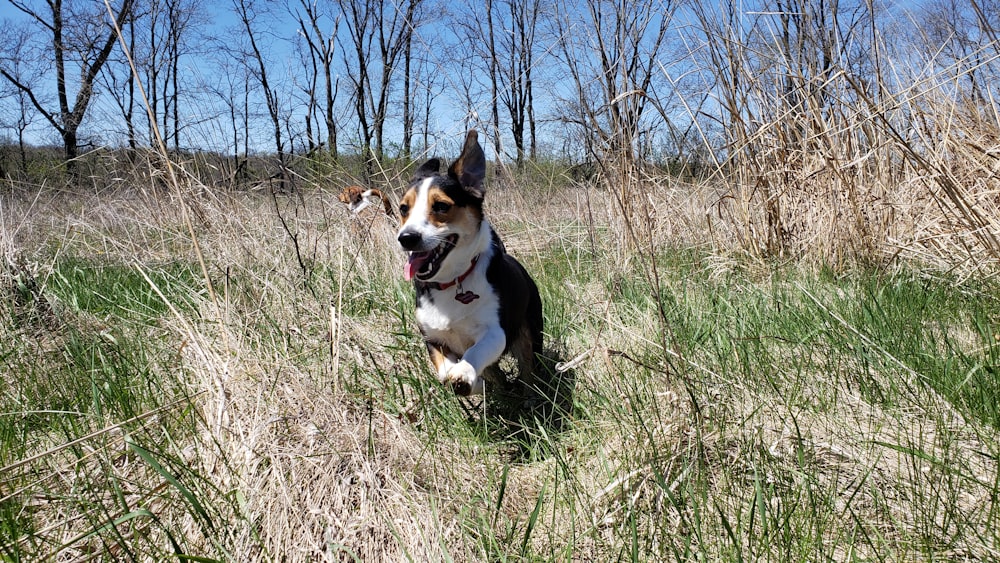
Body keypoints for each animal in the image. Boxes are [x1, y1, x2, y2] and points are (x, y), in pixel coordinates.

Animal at [394, 131, 544, 396]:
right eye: (403, 209)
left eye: (441, 206)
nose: (407, 237)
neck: (452, 281)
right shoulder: (432, 339)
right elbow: (444, 371)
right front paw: (472, 381)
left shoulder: (495, 331)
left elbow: (476, 351)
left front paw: (464, 373)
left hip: (531, 332)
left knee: (528, 366)